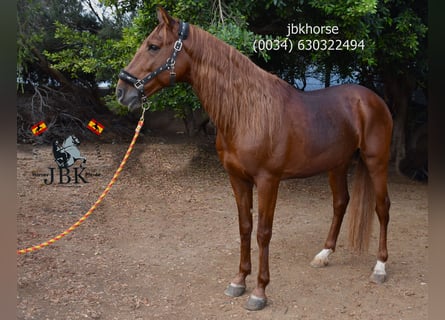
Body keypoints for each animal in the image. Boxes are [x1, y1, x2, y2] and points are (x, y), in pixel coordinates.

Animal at [115, 7, 392, 312]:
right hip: (337, 165)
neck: (246, 112)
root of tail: (372, 99)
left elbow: (263, 232)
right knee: (341, 202)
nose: (121, 91)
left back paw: (380, 267)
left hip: (376, 162)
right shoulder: (237, 178)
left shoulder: (268, 181)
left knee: (382, 207)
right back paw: (324, 254)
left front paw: (259, 292)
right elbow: (245, 227)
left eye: (153, 46)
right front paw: (238, 281)